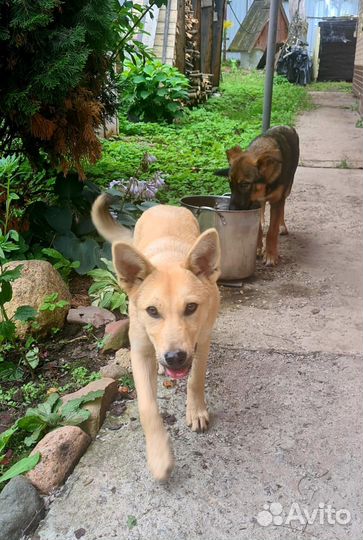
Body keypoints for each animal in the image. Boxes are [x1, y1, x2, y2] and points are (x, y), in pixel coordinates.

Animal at [92, 195, 220, 480]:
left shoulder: (203, 340)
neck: (169, 257)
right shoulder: (139, 351)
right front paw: (159, 455)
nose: (174, 358)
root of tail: (165, 206)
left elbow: (196, 379)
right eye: (152, 311)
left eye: (191, 307)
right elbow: (147, 407)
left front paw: (196, 410)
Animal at [218, 123, 300, 266]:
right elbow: (259, 229)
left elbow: (272, 231)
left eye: (244, 184)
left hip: (287, 189)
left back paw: (282, 226)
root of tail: (285, 126)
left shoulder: (276, 201)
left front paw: (271, 255)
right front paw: (257, 248)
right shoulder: (253, 201)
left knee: (282, 206)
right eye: (230, 183)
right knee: (262, 209)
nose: (231, 209)